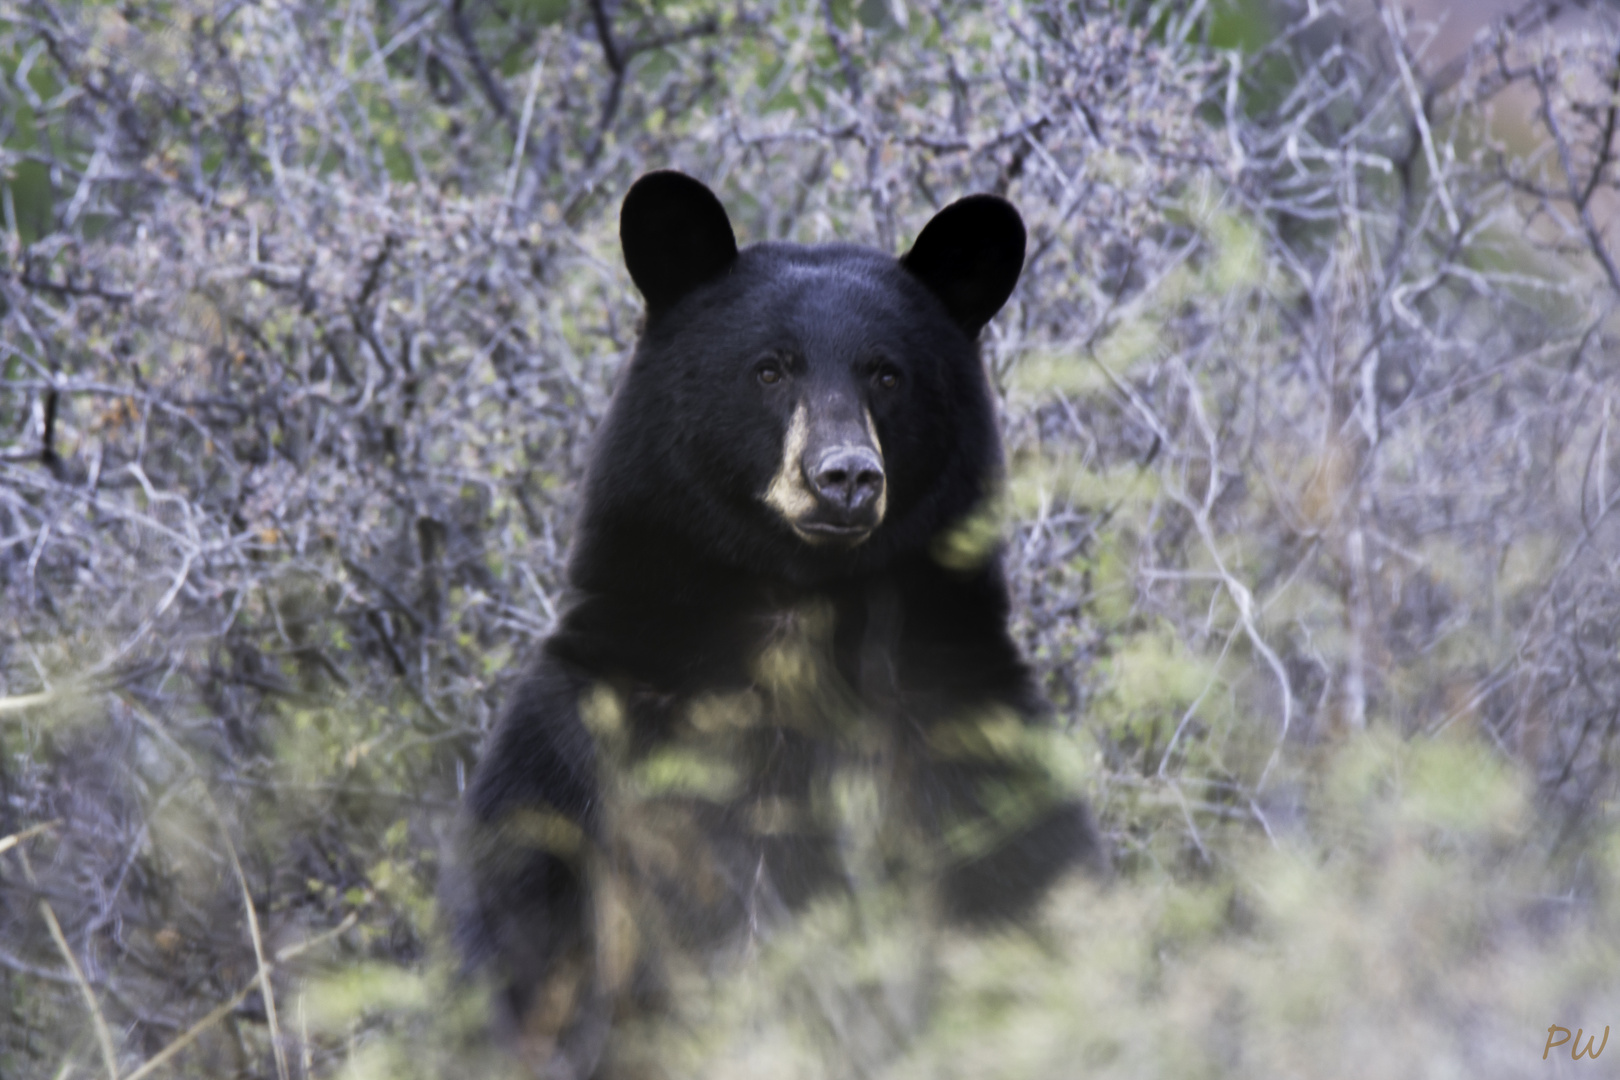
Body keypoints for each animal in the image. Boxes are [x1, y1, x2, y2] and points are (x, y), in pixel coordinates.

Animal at [450, 173, 1095, 1075]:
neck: (795, 609)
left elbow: (1025, 887)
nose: (845, 478)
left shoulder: (961, 740)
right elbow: (526, 927)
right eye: (768, 368)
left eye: (886, 374)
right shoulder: (582, 746)